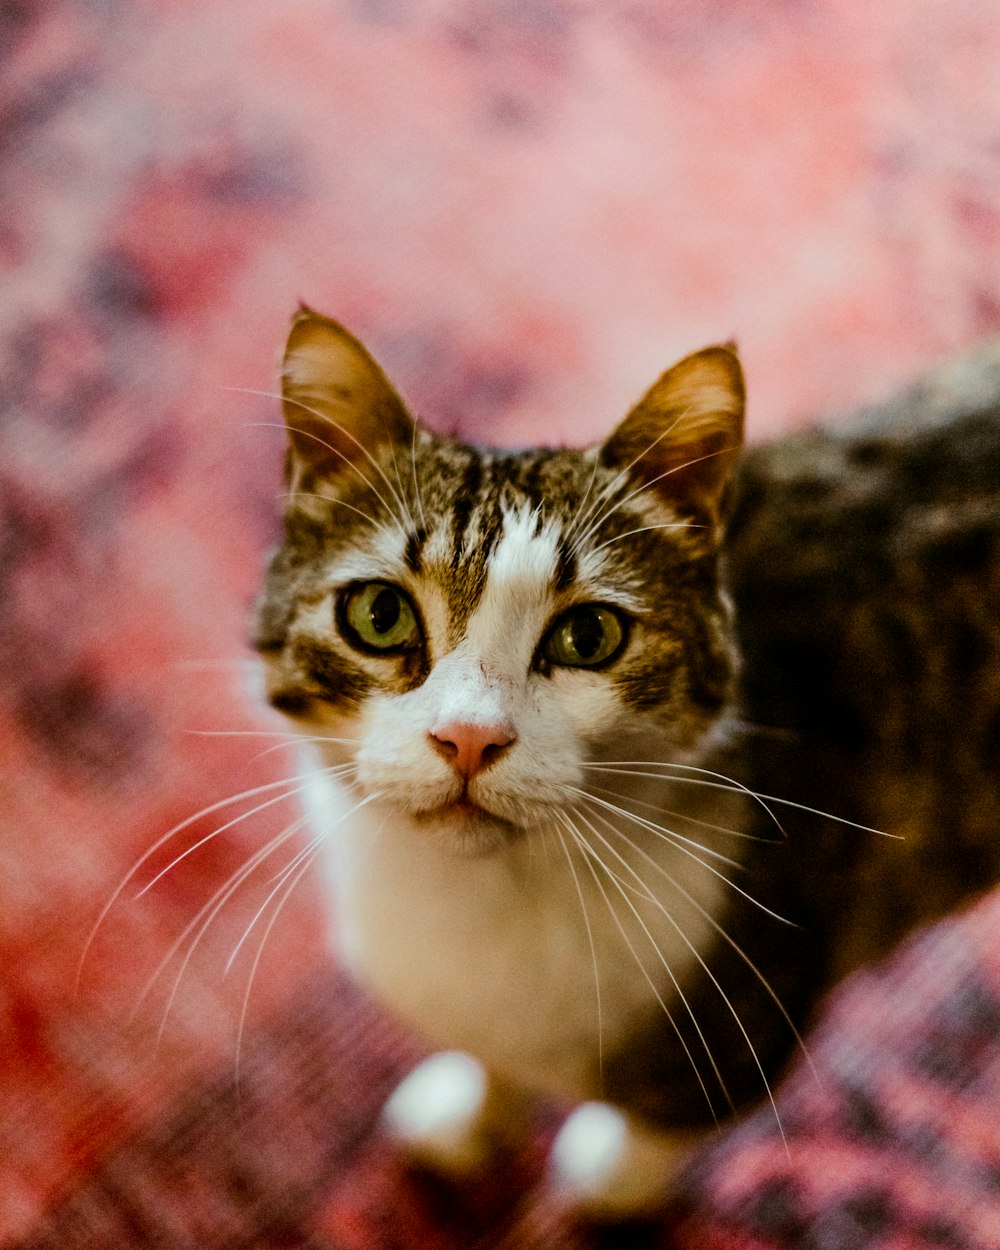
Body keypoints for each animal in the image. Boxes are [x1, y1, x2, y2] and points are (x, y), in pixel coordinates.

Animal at [253, 307, 1000, 1215]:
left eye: (589, 635)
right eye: (380, 614)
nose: (469, 735)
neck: (486, 902)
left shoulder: (748, 1010)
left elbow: (670, 1121)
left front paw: (608, 1178)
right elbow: (498, 1064)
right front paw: (478, 1115)